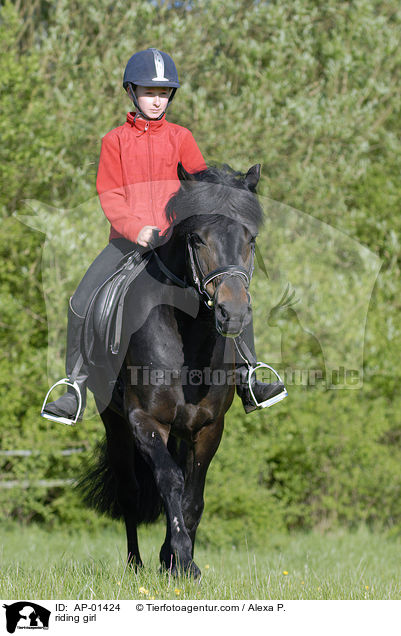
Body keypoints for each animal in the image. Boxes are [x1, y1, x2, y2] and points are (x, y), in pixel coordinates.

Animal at [81, 163, 262, 576]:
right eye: (196, 238)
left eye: (251, 239)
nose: (233, 313)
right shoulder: (145, 420)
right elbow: (170, 482)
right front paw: (181, 557)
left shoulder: (208, 427)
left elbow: (193, 497)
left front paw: (179, 562)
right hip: (114, 421)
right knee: (130, 492)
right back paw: (135, 564)